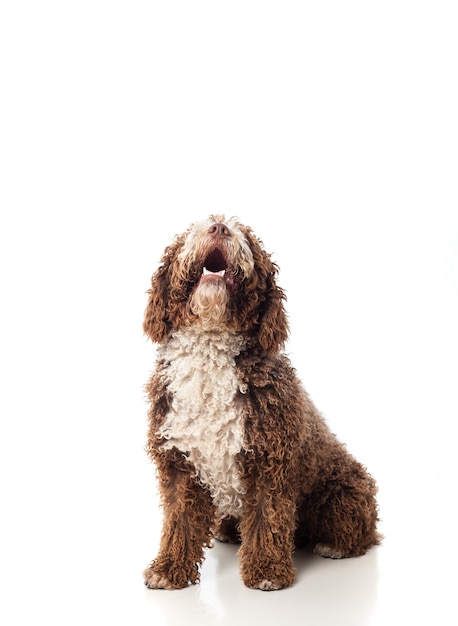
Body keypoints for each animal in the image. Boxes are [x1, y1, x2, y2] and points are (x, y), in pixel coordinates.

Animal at [143, 214, 380, 588]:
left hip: (344, 492)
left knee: (360, 532)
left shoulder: (270, 460)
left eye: (249, 241)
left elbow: (267, 517)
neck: (211, 347)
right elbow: (179, 521)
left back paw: (335, 545)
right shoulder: (179, 461)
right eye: (193, 230)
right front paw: (168, 569)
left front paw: (267, 570)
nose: (219, 227)